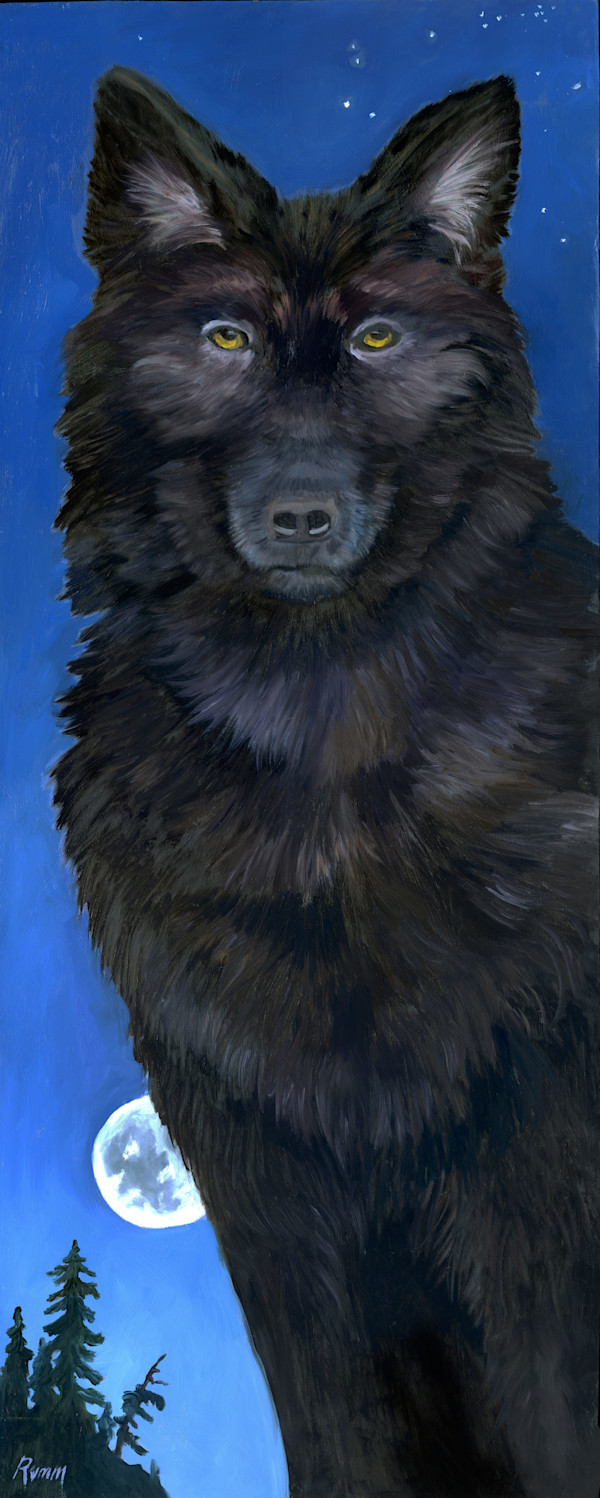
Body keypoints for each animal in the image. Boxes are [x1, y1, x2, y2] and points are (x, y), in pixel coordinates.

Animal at [53, 67, 598, 1497]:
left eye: (380, 342)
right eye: (227, 338)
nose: (299, 515)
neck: (318, 738)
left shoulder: (534, 1163)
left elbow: (561, 1408)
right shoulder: (266, 1184)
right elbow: (338, 1429)